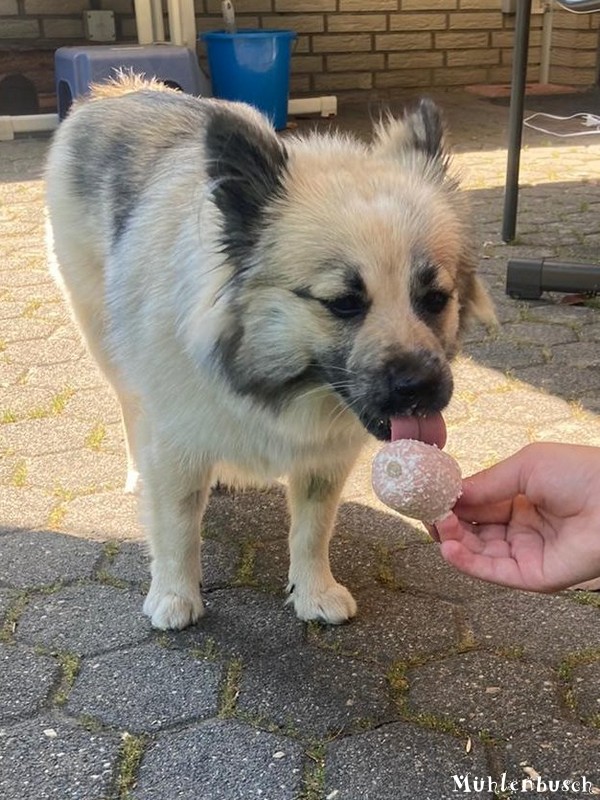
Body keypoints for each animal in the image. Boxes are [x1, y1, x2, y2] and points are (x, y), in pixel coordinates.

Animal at [47, 75, 494, 632]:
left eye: (435, 298)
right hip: (103, 337)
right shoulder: (174, 443)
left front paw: (313, 590)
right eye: (344, 303)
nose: (422, 389)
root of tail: (117, 91)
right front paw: (174, 594)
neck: (274, 380)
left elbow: (312, 528)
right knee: (130, 407)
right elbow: (176, 525)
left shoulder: (324, 459)